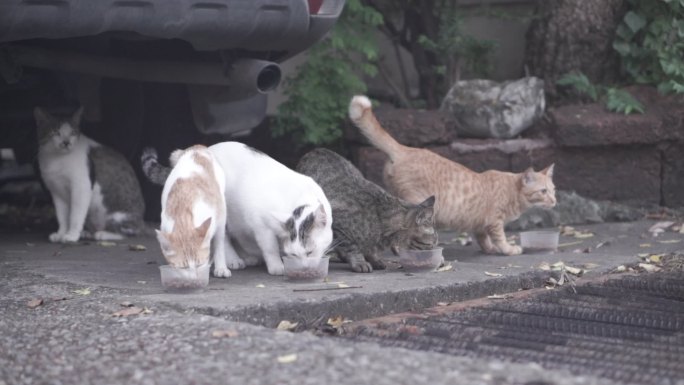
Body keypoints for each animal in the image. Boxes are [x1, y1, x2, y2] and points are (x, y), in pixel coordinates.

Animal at [35, 106, 145, 242]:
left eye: (73, 133)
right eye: (55, 132)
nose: (66, 142)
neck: (56, 159)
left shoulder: (81, 187)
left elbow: (75, 215)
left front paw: (71, 235)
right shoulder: (57, 192)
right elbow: (62, 216)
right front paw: (61, 233)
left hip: (118, 217)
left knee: (127, 233)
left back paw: (102, 234)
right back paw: (87, 233)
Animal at [140, 142, 332, 274]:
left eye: (310, 252)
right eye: (295, 254)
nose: (304, 269)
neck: (300, 199)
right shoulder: (261, 226)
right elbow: (270, 247)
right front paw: (277, 266)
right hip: (223, 212)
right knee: (223, 238)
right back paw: (234, 260)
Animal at [296, 148, 436, 272]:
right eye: (430, 244)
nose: (436, 254)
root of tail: (316, 150)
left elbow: (370, 249)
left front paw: (374, 259)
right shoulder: (338, 227)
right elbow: (351, 247)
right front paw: (359, 262)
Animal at [348, 94, 556, 254]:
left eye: (553, 190)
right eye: (543, 191)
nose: (554, 201)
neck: (512, 190)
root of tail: (404, 149)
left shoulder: (481, 224)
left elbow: (483, 238)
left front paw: (488, 249)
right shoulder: (495, 221)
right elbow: (500, 238)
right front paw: (508, 250)